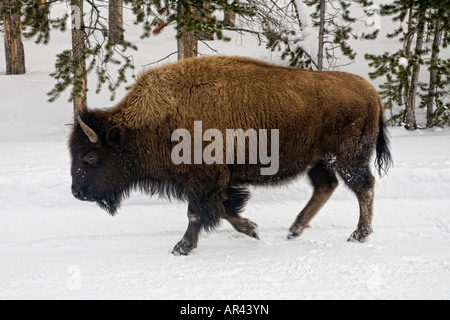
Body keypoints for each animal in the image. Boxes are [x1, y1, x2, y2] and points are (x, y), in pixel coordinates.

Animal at [69, 55, 390, 255]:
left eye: (91, 157)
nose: (76, 192)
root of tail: (373, 94)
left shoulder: (205, 179)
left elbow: (198, 211)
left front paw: (181, 248)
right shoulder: (217, 180)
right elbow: (224, 208)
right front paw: (253, 230)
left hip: (347, 157)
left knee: (364, 187)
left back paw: (358, 235)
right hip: (319, 160)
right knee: (326, 187)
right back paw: (294, 230)